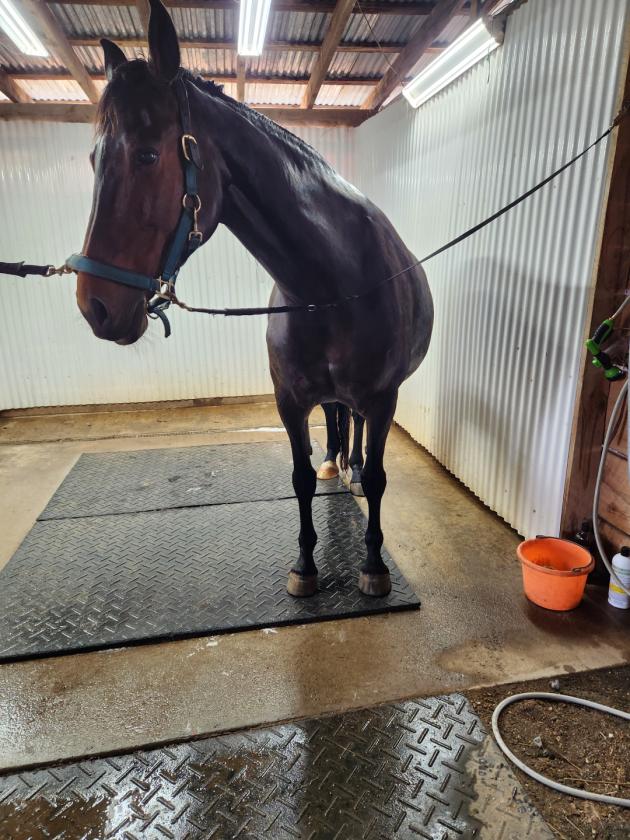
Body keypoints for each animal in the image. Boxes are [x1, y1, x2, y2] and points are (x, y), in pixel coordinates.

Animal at [74, 0, 433, 598]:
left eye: (147, 155)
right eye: (92, 159)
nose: (94, 306)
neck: (330, 288)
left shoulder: (385, 399)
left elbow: (382, 477)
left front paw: (373, 565)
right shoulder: (287, 400)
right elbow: (301, 477)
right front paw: (306, 566)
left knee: (355, 426)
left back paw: (353, 467)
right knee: (336, 415)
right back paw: (337, 462)